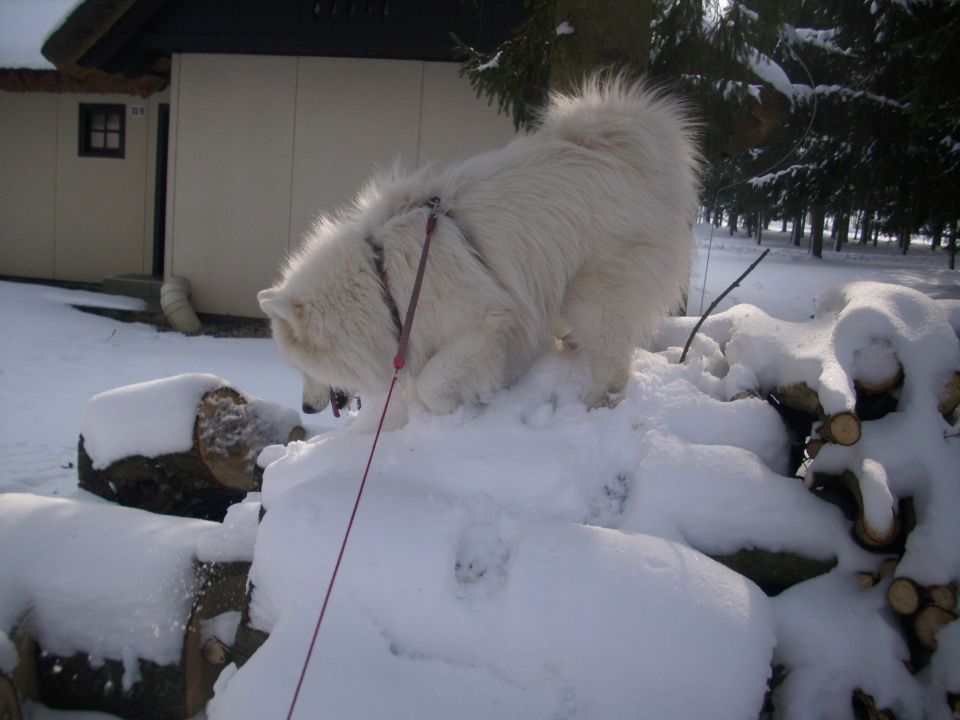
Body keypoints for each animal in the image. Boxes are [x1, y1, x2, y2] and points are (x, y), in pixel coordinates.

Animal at [258, 74, 700, 422]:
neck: (384, 283)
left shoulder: (483, 321)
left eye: (303, 366)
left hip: (597, 293)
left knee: (612, 365)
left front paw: (458, 408)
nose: (306, 408)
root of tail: (631, 151)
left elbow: (432, 384)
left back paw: (592, 407)